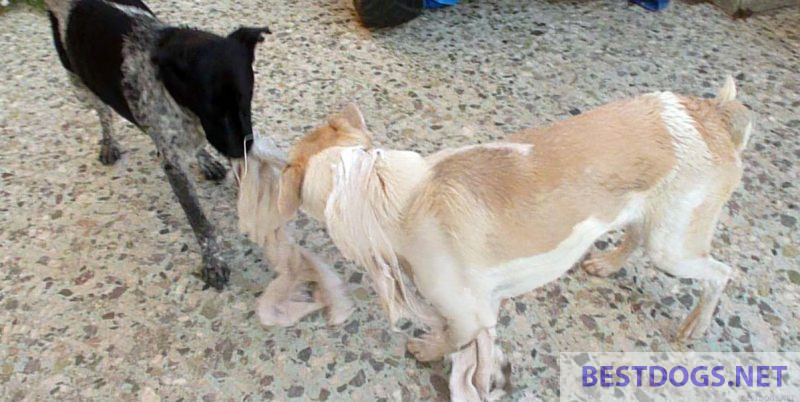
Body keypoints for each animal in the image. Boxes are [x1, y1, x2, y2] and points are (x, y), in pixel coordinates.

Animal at [47, 0, 272, 288]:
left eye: (247, 99)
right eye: (211, 108)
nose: (239, 151)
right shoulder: (175, 163)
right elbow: (200, 223)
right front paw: (212, 261)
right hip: (80, 86)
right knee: (102, 110)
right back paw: (109, 143)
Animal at [244, 77, 752, 398]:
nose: (250, 147)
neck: (379, 187)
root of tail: (711, 113)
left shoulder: (469, 315)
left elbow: (451, 339)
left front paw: (427, 349)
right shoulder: (482, 309)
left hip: (675, 248)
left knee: (721, 273)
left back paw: (697, 325)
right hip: (648, 220)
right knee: (634, 236)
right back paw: (607, 263)